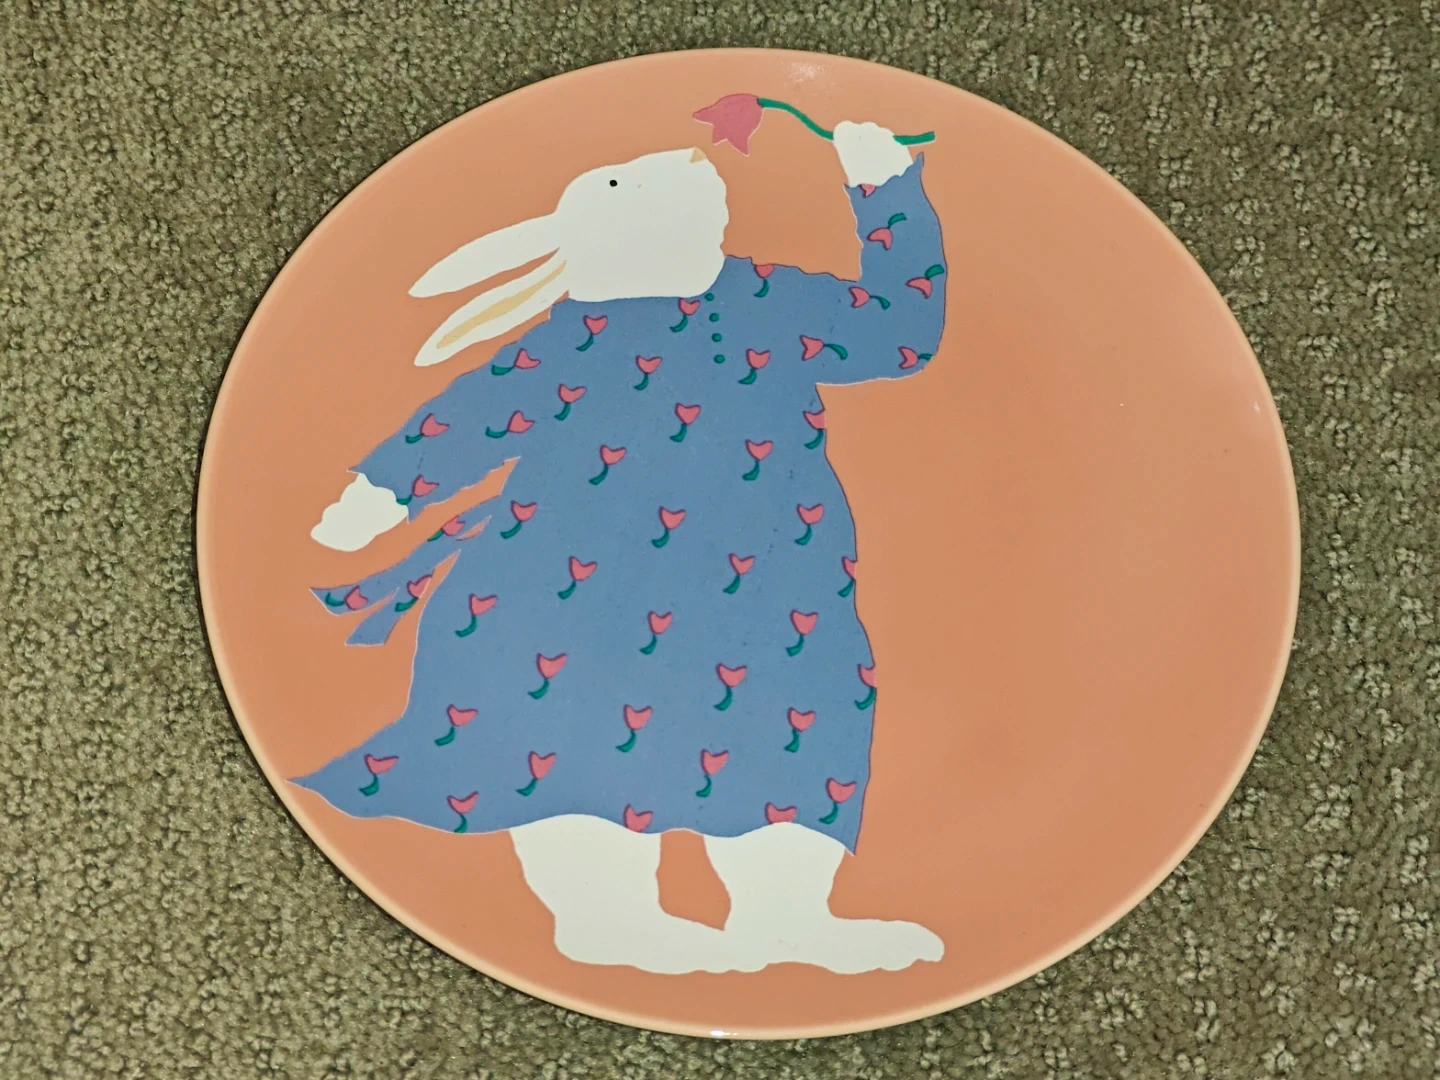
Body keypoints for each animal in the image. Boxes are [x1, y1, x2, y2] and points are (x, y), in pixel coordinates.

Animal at [299, 118, 948, 974]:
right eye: (612, 182)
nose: (696, 152)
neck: (661, 294)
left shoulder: (799, 307)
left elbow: (893, 325)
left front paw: (869, 149)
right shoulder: (539, 360)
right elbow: (460, 421)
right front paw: (347, 519)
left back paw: (817, 945)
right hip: (539, 731)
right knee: (581, 855)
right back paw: (662, 948)